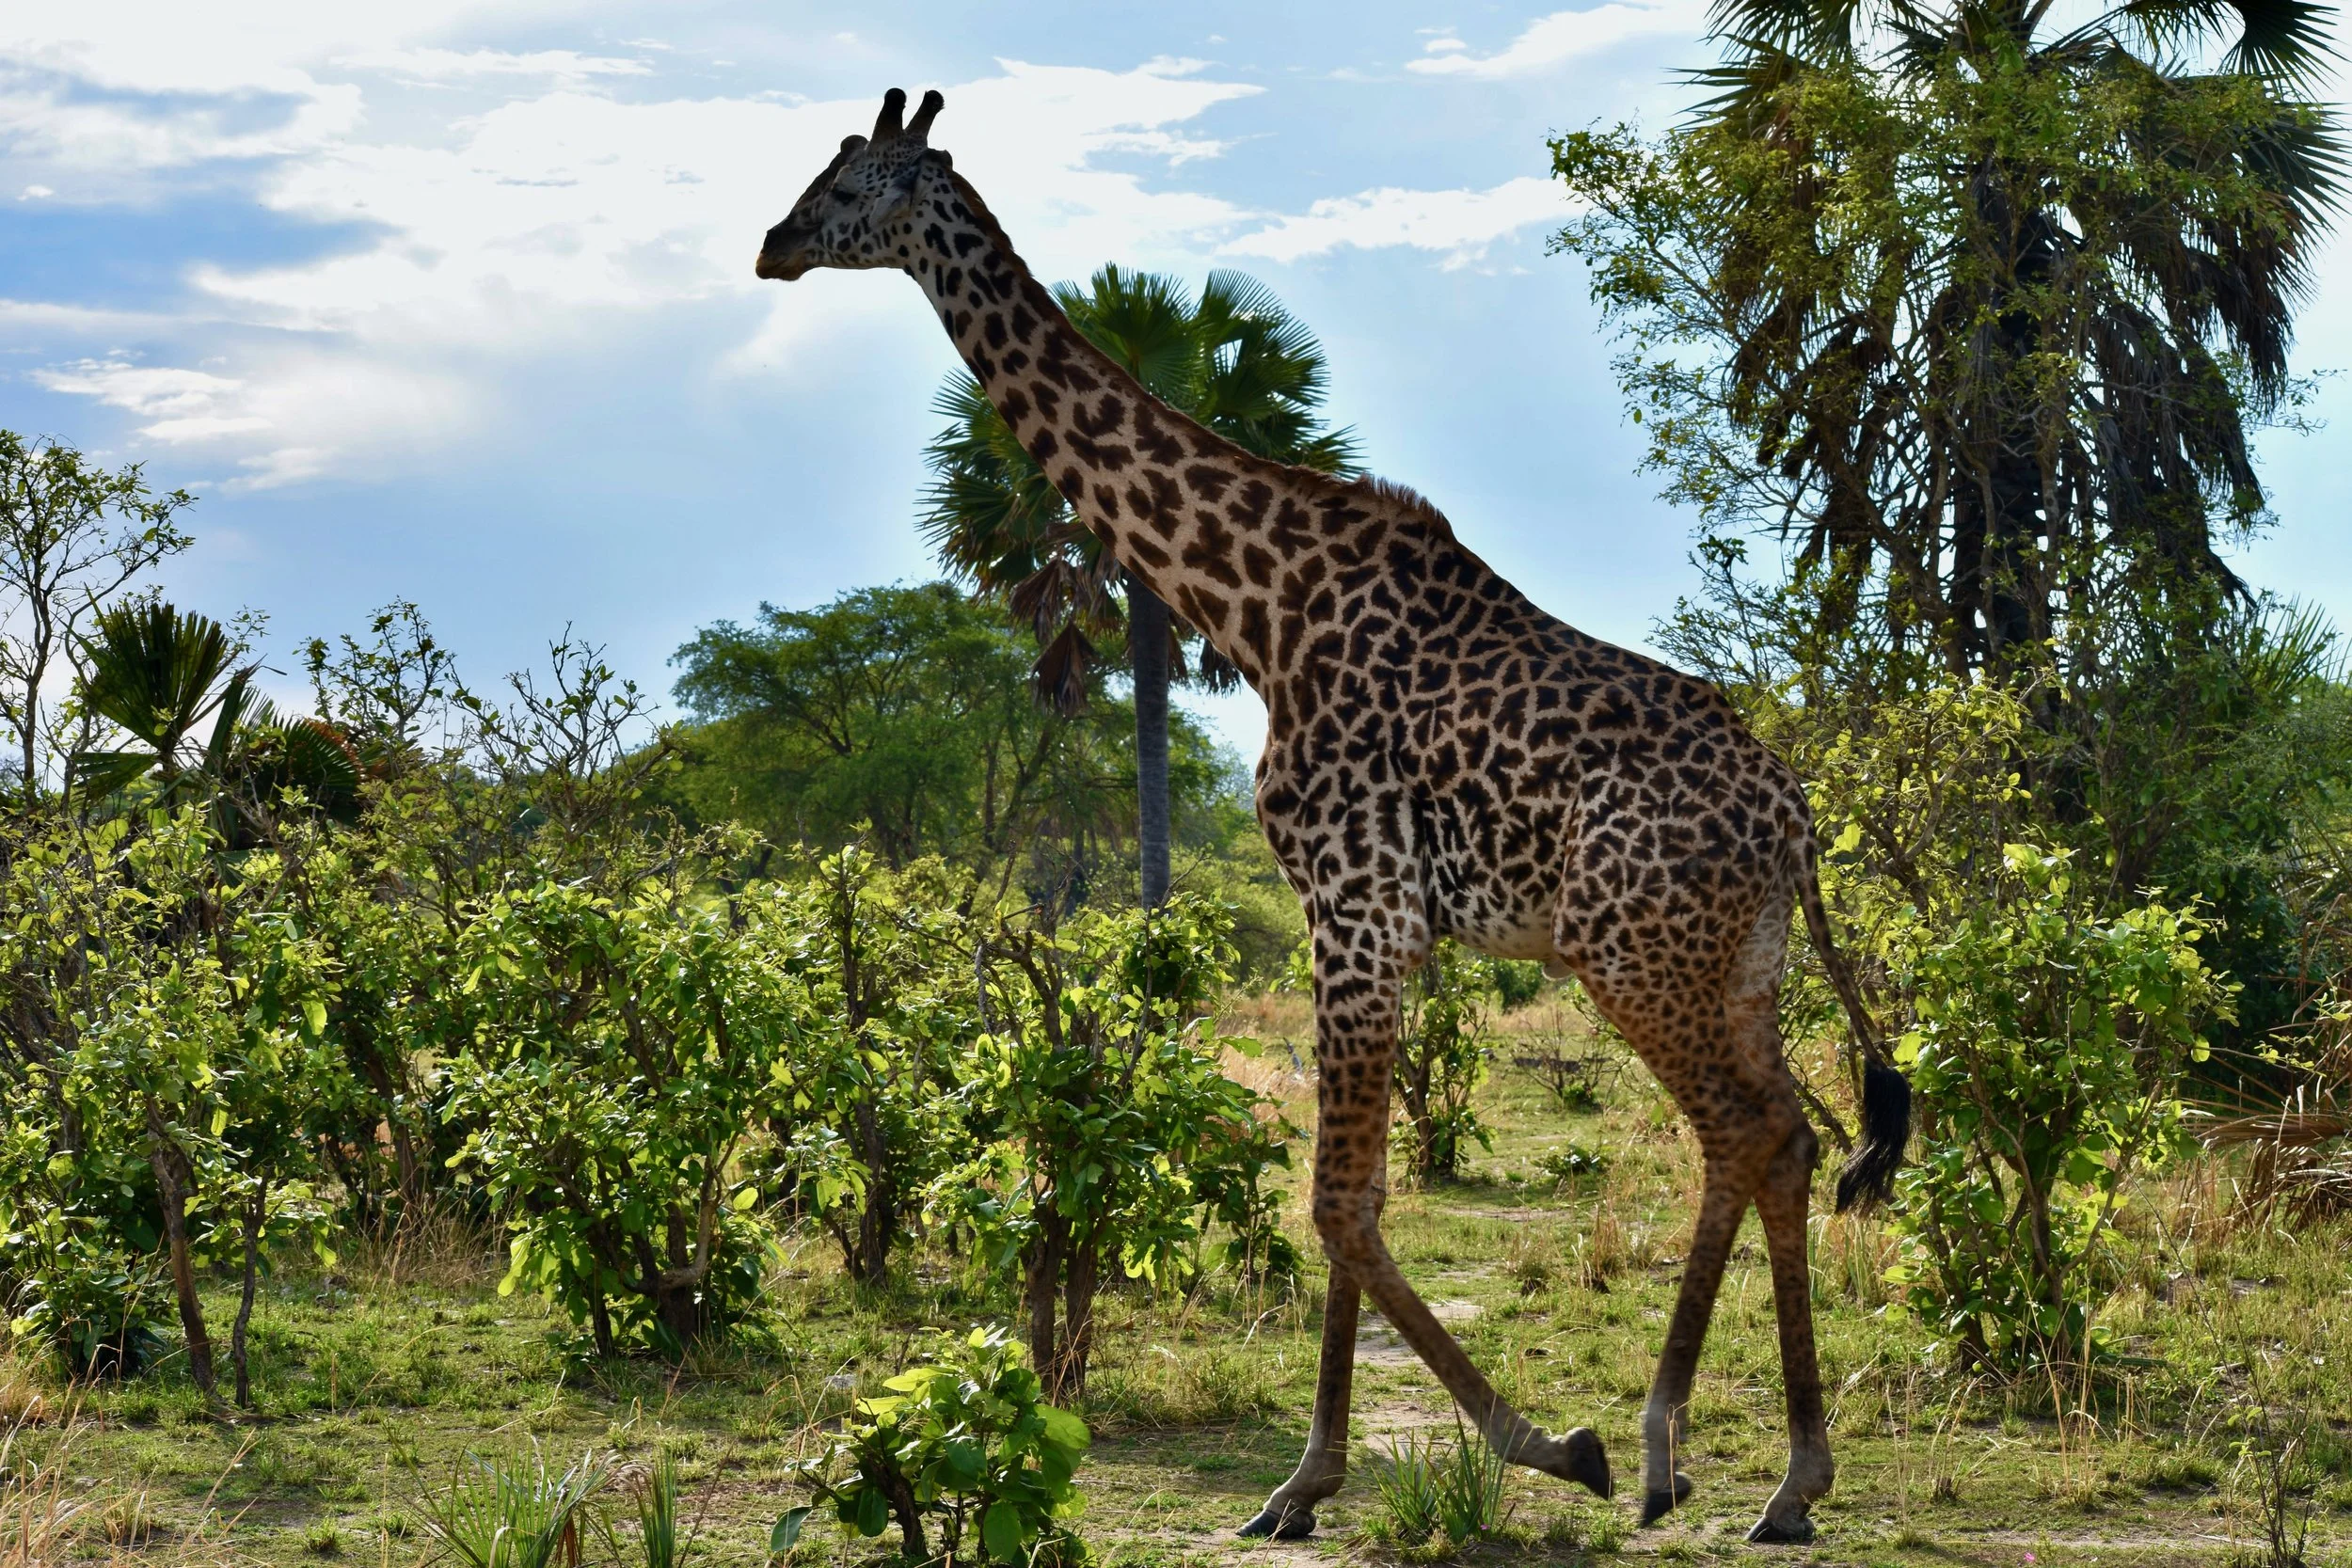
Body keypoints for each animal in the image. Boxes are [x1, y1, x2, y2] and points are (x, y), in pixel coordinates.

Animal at [753, 88, 1912, 1547]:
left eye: (852, 186)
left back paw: (1674, 1448)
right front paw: (1333, 1473)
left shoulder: (1353, 911)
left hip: (1632, 953)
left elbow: (1338, 1203)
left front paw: (1494, 1451)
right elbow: (1354, 1195)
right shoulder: (1373, 927)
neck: (1259, 606)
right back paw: (1781, 1474)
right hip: (1737, 961)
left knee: (1745, 1132)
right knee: (1785, 1137)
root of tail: (1795, 819)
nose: (773, 245)